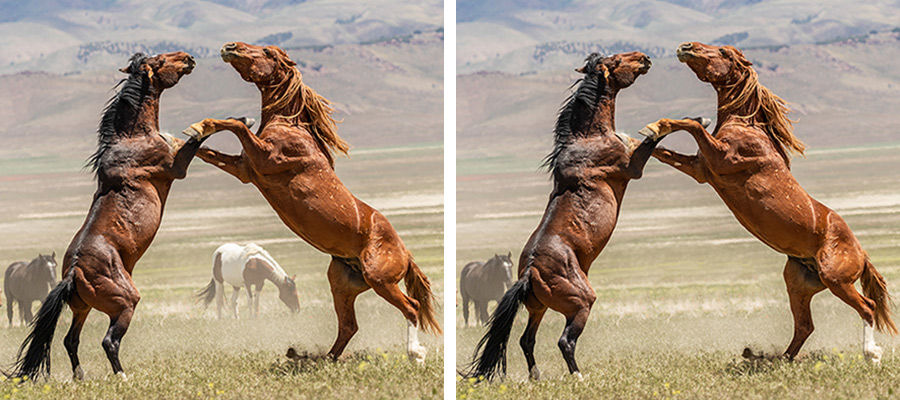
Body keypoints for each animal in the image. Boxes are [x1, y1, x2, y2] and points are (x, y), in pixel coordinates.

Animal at [7, 51, 216, 381]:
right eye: (160, 60)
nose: (188, 57)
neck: (132, 138)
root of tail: (72, 274)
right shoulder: (176, 168)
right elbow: (196, 140)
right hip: (124, 303)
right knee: (108, 341)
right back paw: (122, 376)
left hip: (82, 307)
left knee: (70, 339)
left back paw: (80, 377)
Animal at [182, 42, 440, 364]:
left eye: (268, 52)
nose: (231, 46)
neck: (292, 127)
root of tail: (405, 254)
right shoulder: (245, 170)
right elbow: (207, 151)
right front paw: (181, 138)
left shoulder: (264, 158)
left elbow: (233, 125)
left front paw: (198, 126)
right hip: (343, 285)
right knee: (349, 326)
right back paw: (318, 358)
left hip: (382, 281)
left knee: (411, 307)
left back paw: (415, 353)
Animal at [463, 51, 661, 381]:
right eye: (616, 60)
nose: (644, 58)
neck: (589, 137)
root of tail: (529, 273)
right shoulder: (632, 167)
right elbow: (653, 141)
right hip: (580, 302)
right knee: (564, 341)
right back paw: (578, 376)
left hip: (538, 307)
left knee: (526, 340)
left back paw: (536, 376)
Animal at [639, 41, 897, 362]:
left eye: (724, 53)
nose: (687, 46)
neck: (748, 127)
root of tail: (862, 254)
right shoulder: (701, 170)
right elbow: (662, 151)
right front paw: (634, 138)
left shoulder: (720, 159)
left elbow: (690, 124)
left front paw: (654, 126)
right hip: (799, 284)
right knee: (805, 326)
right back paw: (773, 358)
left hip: (837, 281)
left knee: (867, 308)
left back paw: (871, 354)